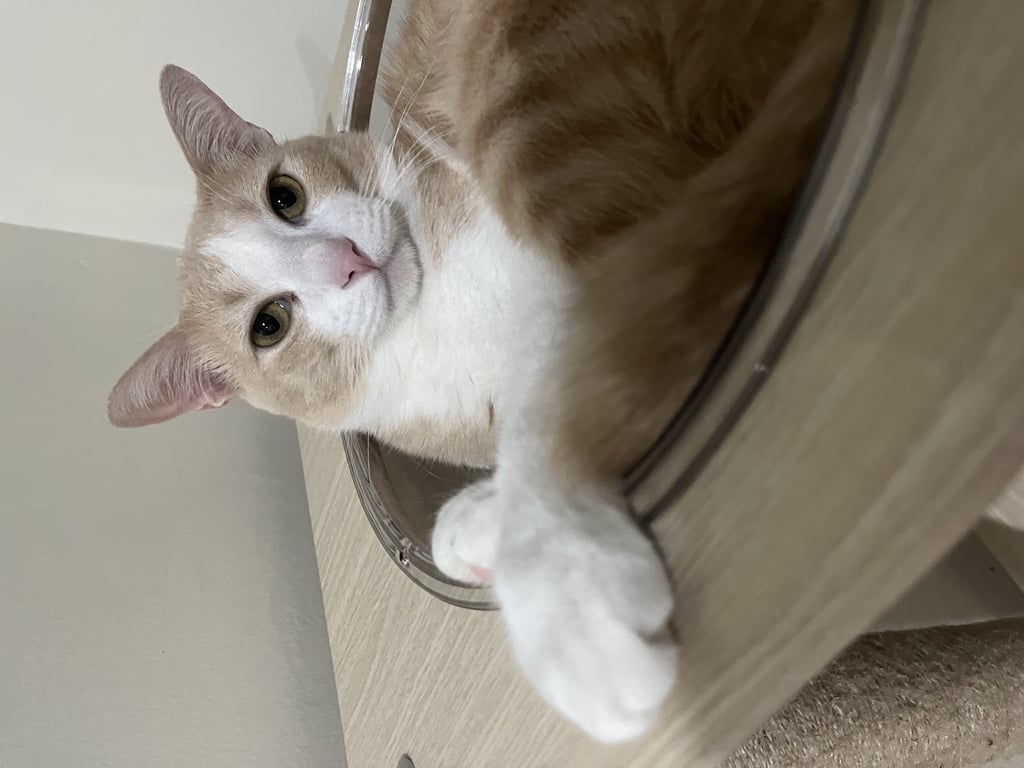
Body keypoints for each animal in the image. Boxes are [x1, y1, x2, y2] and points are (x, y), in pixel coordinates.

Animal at [108, 0, 860, 743]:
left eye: (284, 195)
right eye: (269, 324)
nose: (347, 260)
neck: (431, 317)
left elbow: (560, 397)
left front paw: (561, 594)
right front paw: (479, 527)